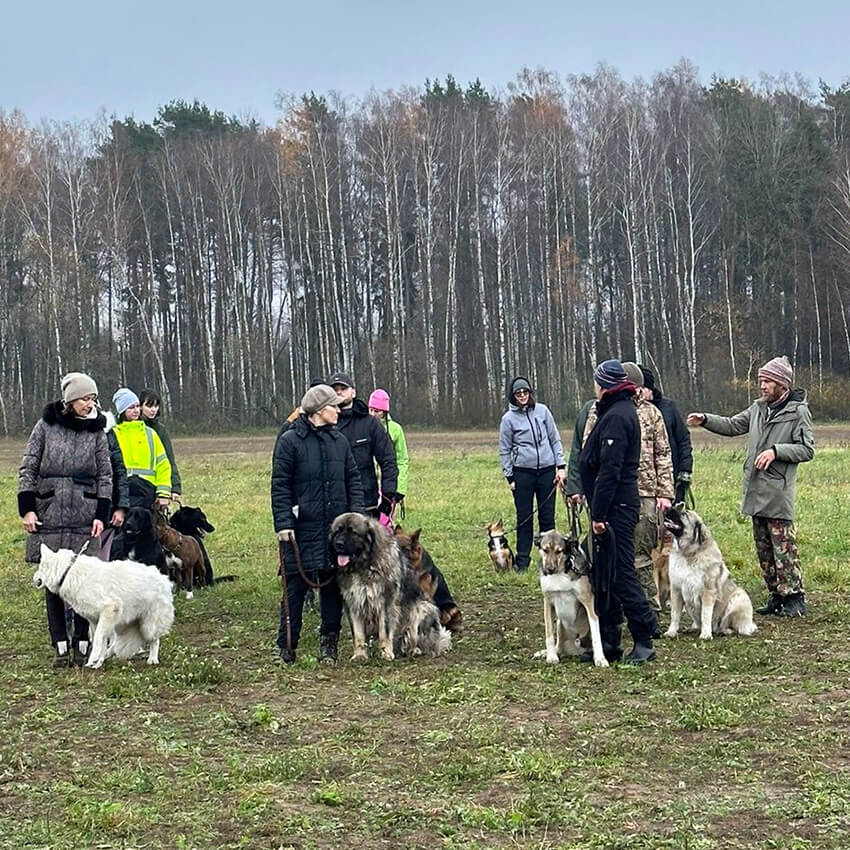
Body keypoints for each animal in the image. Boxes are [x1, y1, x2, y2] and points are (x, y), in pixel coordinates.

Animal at [31, 540, 174, 664]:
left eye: (40, 567)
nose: (34, 578)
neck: (67, 571)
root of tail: (164, 578)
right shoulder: (95, 620)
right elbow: (99, 640)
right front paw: (97, 661)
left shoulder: (109, 609)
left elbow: (99, 638)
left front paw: (94, 658)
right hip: (121, 623)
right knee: (116, 642)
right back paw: (108, 654)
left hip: (148, 626)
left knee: (154, 640)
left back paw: (152, 659)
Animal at [328, 512, 454, 660]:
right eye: (337, 532)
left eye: (353, 532)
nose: (338, 544)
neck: (363, 565)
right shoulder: (353, 603)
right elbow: (358, 635)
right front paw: (359, 655)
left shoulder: (385, 602)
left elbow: (385, 631)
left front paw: (386, 653)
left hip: (423, 608)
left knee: (418, 639)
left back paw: (414, 650)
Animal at [532, 528, 608, 664]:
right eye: (545, 550)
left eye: (559, 551)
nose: (549, 569)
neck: (560, 573)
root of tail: (574, 648)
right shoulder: (548, 601)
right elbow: (549, 633)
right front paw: (551, 656)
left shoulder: (588, 600)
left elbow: (596, 635)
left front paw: (600, 659)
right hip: (559, 623)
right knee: (558, 647)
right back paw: (547, 653)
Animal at [664, 504, 756, 636]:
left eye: (684, 514)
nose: (666, 507)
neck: (689, 553)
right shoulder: (676, 589)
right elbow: (675, 614)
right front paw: (671, 631)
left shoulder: (708, 592)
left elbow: (705, 615)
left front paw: (706, 634)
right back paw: (695, 627)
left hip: (739, 598)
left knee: (735, 626)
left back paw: (725, 630)